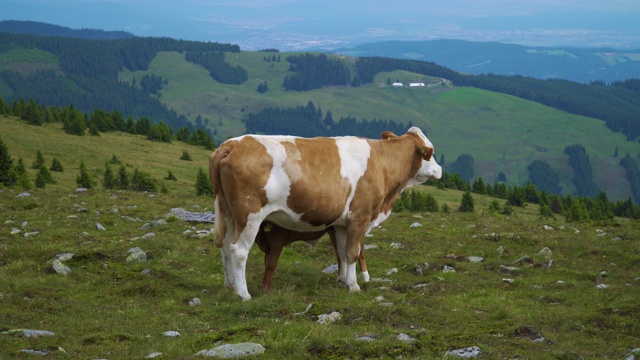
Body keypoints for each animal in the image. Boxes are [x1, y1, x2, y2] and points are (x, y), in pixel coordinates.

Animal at [210, 126, 440, 300]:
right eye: (430, 152)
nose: (439, 170)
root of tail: (232, 144)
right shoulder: (360, 216)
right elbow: (352, 252)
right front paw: (354, 286)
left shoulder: (341, 223)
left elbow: (342, 252)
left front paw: (343, 281)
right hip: (250, 215)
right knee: (238, 250)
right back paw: (243, 294)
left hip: (227, 212)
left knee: (225, 247)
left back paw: (229, 286)